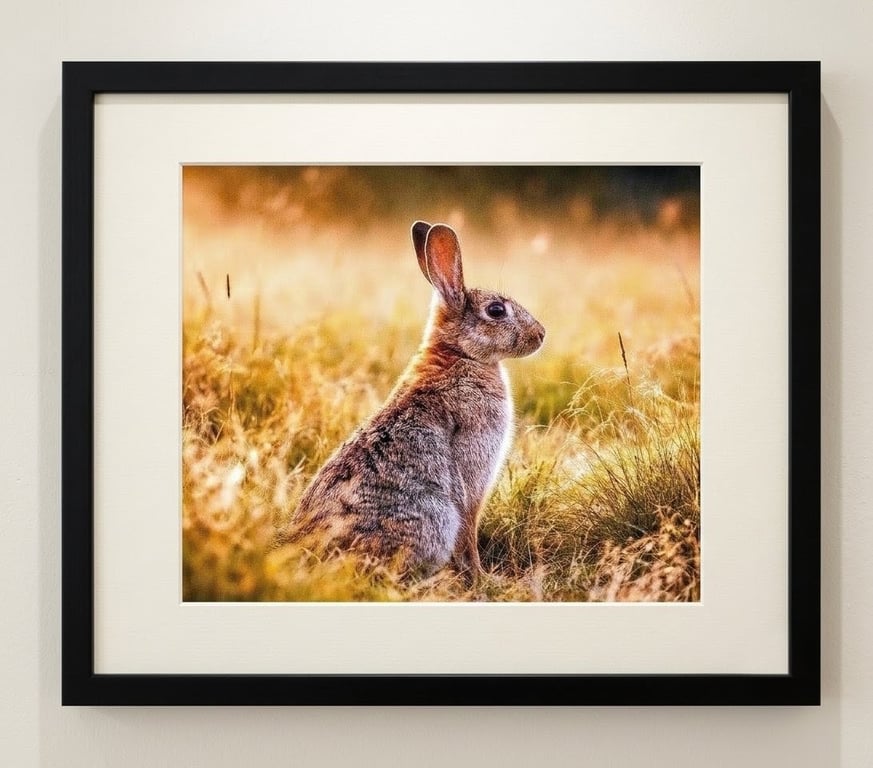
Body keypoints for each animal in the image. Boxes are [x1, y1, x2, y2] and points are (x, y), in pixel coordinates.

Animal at [280, 221, 545, 579]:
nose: (541, 334)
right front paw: (480, 576)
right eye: (496, 310)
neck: (459, 354)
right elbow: (469, 531)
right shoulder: (472, 479)